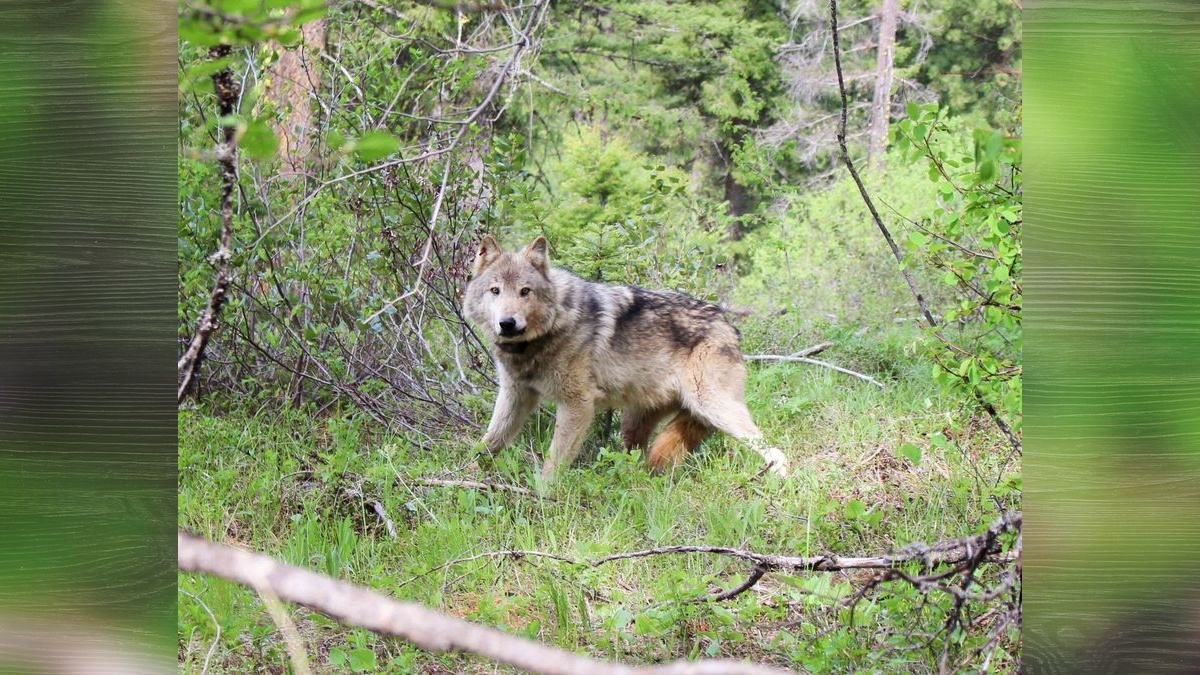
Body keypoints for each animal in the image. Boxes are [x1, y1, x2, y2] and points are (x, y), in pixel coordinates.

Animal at [463, 235, 788, 480]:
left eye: (525, 291)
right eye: (495, 290)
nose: (508, 323)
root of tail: (729, 325)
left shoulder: (578, 404)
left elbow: (554, 463)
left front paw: (543, 496)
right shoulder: (515, 396)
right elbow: (487, 443)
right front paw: (463, 478)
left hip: (713, 407)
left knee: (774, 449)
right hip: (636, 423)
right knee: (639, 459)